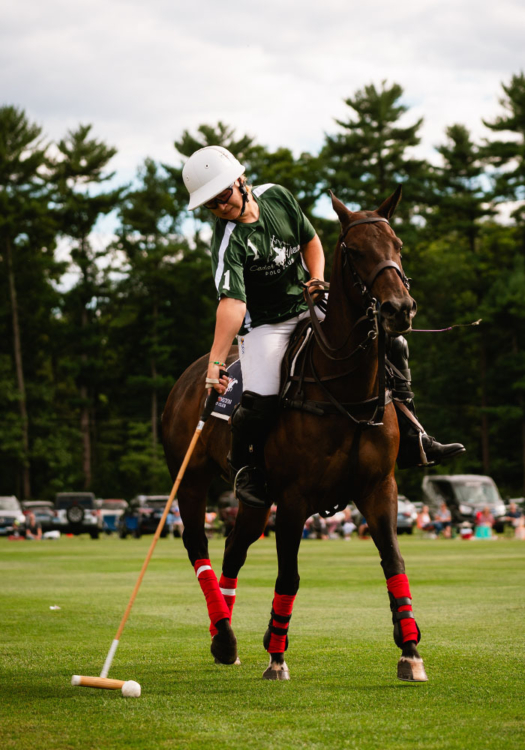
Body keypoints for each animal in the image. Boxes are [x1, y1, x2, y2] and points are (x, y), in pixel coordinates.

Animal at [163, 187, 426, 680]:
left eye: (398, 244)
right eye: (354, 251)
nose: (399, 309)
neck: (345, 390)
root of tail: (191, 375)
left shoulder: (380, 487)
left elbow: (394, 562)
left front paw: (411, 651)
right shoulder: (293, 497)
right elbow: (289, 575)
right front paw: (277, 656)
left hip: (254, 497)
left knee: (235, 547)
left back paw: (225, 635)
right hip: (190, 478)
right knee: (197, 544)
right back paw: (224, 636)